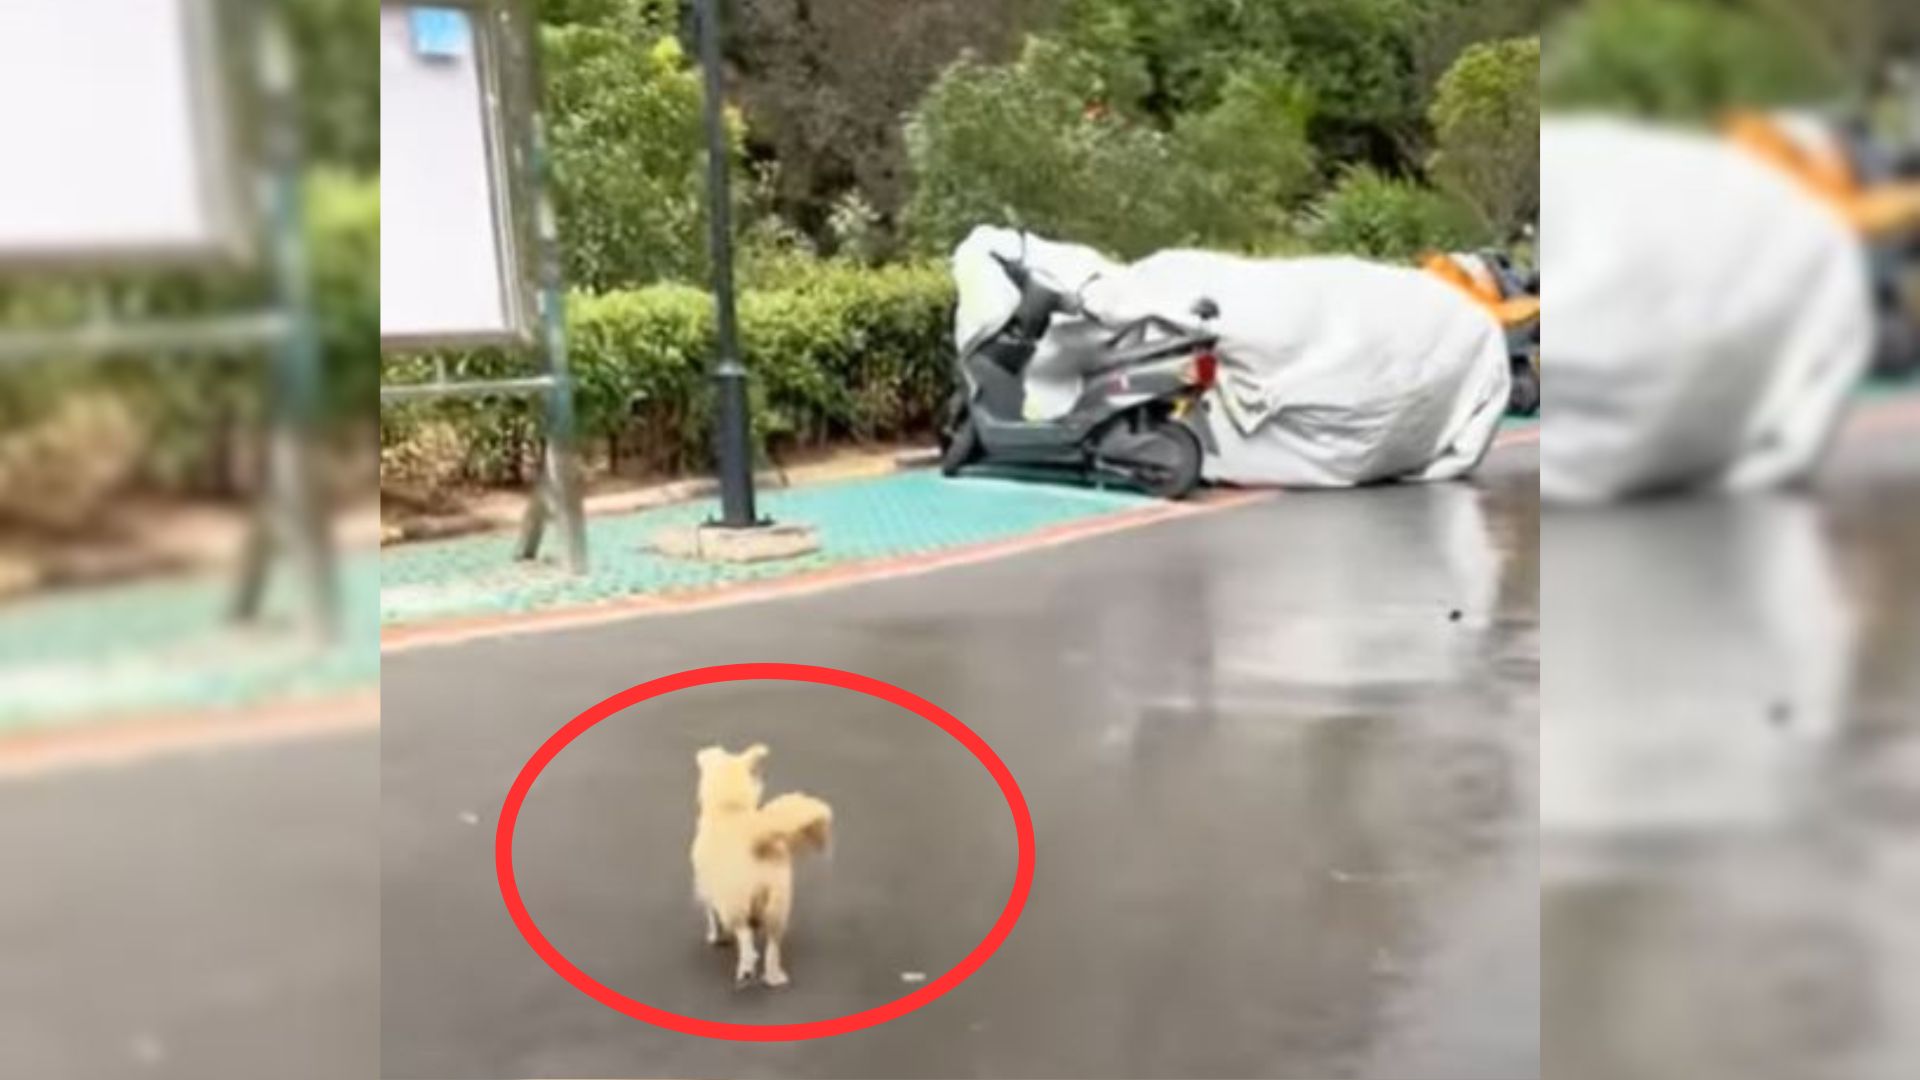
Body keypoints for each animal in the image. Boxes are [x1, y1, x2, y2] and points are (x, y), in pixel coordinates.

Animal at [695, 737, 837, 983]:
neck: (730, 808)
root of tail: (757, 843)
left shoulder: (710, 888)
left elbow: (712, 915)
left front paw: (715, 936)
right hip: (778, 903)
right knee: (772, 944)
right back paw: (773, 976)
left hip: (735, 901)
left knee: (745, 937)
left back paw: (747, 967)